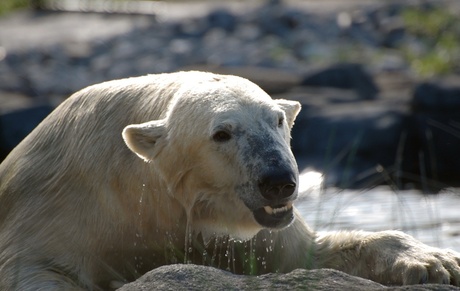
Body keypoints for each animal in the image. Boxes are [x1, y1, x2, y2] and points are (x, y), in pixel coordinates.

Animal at [0, 71, 458, 291]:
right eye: (222, 133)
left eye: (277, 120)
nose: (279, 181)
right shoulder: (61, 204)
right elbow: (33, 270)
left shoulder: (247, 233)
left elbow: (309, 255)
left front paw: (436, 262)